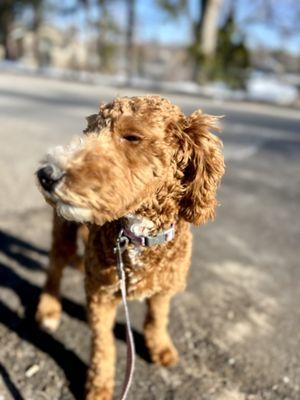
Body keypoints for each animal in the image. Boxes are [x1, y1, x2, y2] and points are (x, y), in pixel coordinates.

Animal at [35, 96, 224, 400]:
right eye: (89, 131)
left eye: (132, 137)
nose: (46, 174)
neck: (138, 235)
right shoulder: (100, 295)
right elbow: (103, 346)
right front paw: (99, 386)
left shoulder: (164, 288)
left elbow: (157, 319)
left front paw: (160, 347)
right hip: (63, 230)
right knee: (55, 267)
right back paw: (48, 309)